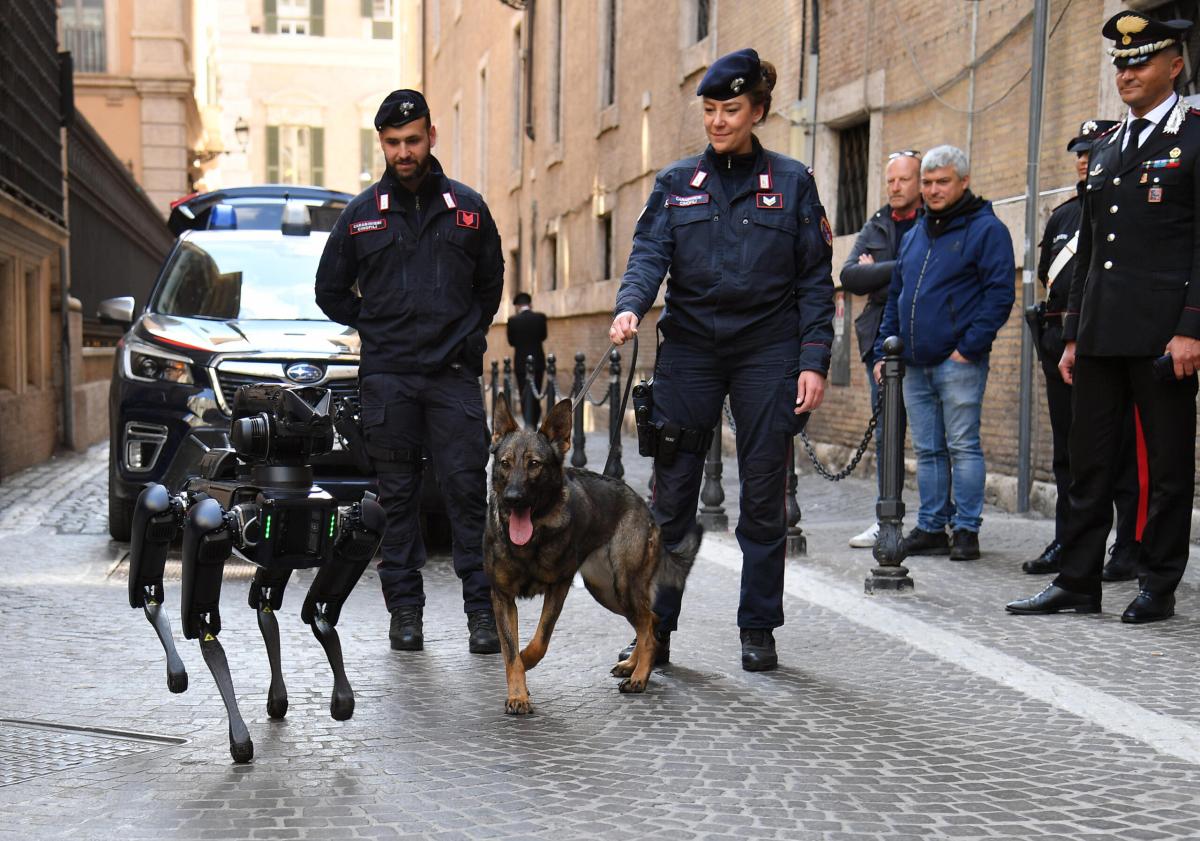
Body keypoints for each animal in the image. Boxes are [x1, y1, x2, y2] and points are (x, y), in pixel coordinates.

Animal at [127, 383, 381, 763]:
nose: (319, 417)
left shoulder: (339, 523)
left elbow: (323, 603)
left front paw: (340, 691)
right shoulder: (215, 522)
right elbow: (202, 622)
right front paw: (239, 735)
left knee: (266, 599)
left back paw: (279, 693)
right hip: (183, 508)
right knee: (157, 504)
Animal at [487, 395, 676, 710]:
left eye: (534, 464)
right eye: (505, 463)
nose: (513, 499)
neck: (533, 539)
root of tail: (642, 503)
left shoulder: (559, 587)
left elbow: (539, 641)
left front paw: (525, 664)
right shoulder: (502, 597)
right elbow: (509, 651)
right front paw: (517, 693)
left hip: (622, 588)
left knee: (648, 628)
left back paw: (639, 678)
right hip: (606, 592)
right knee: (649, 622)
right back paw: (632, 666)